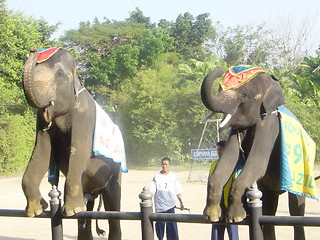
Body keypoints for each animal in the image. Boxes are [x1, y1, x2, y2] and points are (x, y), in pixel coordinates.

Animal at [21, 47, 125, 240]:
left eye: (60, 74)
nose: (32, 50)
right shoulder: (41, 120)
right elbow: (42, 152)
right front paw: (36, 210)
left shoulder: (84, 116)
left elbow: (79, 152)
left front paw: (70, 211)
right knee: (87, 213)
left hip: (115, 173)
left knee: (113, 208)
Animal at [200, 65, 316, 240]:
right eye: (219, 89)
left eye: (244, 95)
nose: (220, 69)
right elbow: (227, 161)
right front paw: (212, 216)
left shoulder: (269, 124)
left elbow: (258, 163)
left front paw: (235, 218)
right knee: (269, 210)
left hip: (301, 176)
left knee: (296, 208)